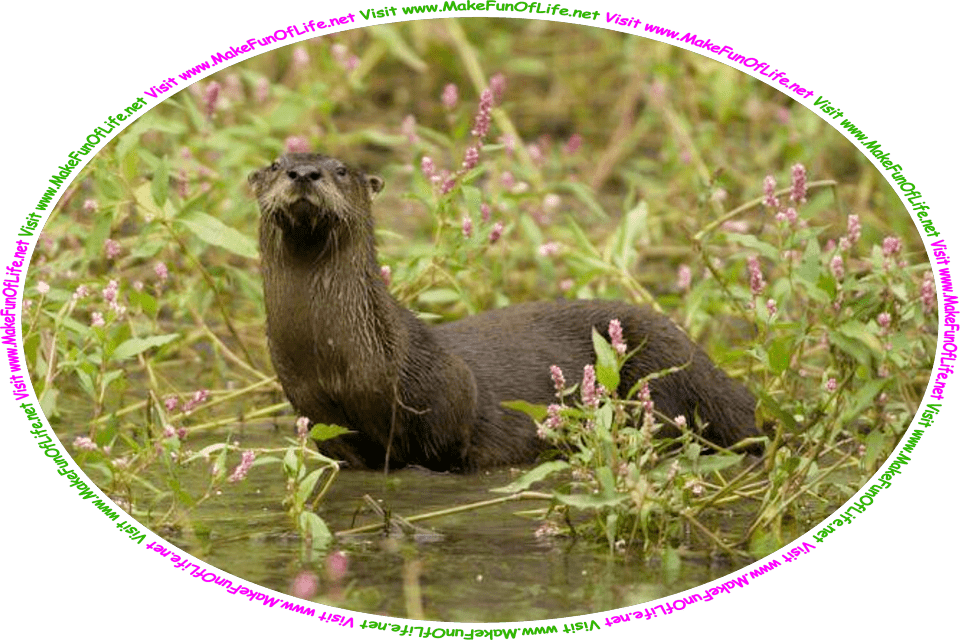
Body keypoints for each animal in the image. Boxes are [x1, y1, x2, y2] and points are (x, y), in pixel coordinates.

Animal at [250, 152, 762, 471]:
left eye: (339, 170)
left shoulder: (446, 395)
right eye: (276, 164)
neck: (336, 361)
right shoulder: (319, 416)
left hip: (665, 373)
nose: (304, 173)